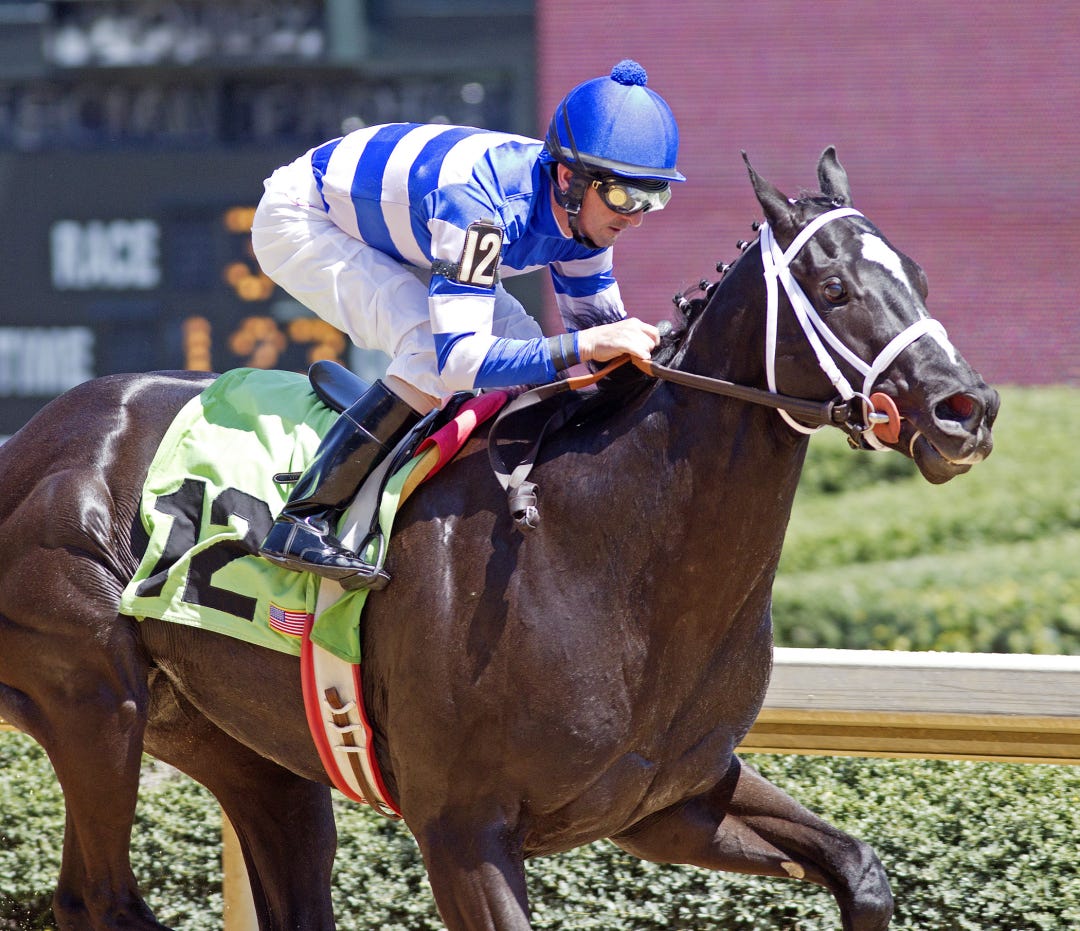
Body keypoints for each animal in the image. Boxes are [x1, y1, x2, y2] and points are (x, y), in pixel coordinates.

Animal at [0, 147, 998, 931]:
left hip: (241, 744)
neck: (612, 556)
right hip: (94, 698)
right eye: (834, 287)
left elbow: (862, 872)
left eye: (916, 272)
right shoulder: (463, 828)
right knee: (99, 898)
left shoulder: (669, 798)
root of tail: (33, 440)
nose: (967, 408)